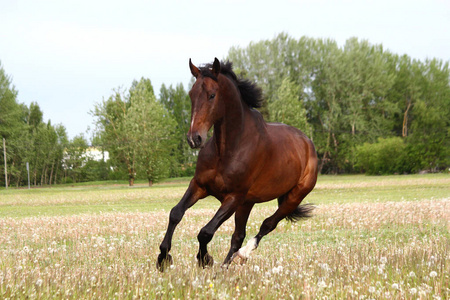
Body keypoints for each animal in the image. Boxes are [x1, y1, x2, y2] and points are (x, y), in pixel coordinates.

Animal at [156, 57, 318, 270]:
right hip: (247, 203)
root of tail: (308, 144)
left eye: (212, 95)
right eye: (191, 94)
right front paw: (163, 258)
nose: (194, 138)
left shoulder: (233, 197)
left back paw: (242, 255)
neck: (227, 149)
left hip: (293, 198)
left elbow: (206, 232)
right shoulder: (199, 186)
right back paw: (225, 267)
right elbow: (176, 213)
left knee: (267, 224)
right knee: (238, 236)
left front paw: (205, 259)